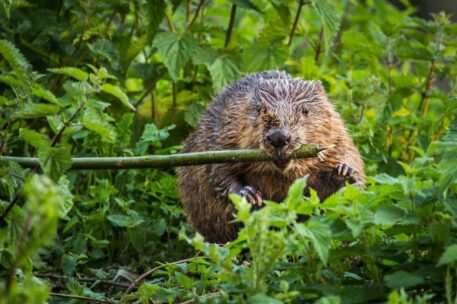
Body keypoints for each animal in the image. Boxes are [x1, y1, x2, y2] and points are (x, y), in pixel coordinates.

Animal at [176, 69, 366, 242]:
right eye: (259, 109)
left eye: (306, 110)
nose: (279, 137)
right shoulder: (224, 130)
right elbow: (216, 170)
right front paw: (249, 194)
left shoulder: (337, 131)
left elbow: (347, 155)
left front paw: (345, 171)